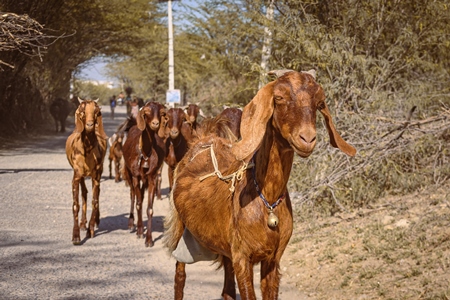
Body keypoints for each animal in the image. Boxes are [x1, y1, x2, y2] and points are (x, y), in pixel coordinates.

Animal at [65, 99, 108, 245]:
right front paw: (76, 236)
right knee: (84, 192)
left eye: (96, 111)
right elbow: (75, 204)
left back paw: (94, 221)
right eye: (82, 111)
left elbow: (95, 201)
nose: (90, 125)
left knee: (97, 194)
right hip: (82, 176)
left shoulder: (96, 176)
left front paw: (91, 229)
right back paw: (83, 223)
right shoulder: (76, 176)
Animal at [121, 101, 167, 246]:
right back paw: (132, 224)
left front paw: (149, 239)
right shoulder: (136, 176)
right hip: (129, 173)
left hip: (144, 179)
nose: (155, 123)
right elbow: (138, 203)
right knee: (133, 195)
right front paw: (140, 231)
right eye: (146, 112)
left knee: (140, 193)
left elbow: (149, 208)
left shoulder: (152, 177)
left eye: (161, 113)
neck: (145, 153)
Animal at [163, 69, 356, 298]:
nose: (307, 139)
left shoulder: (272, 259)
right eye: (279, 98)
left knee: (227, 288)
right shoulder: (242, 257)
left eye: (319, 102)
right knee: (180, 275)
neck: (268, 200)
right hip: (180, 227)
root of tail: (203, 140)